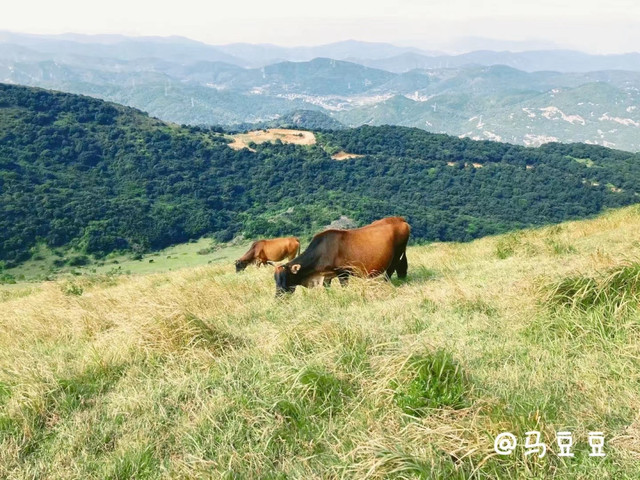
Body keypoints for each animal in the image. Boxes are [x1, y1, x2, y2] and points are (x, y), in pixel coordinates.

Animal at [272, 217, 408, 292]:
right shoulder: (326, 275)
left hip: (396, 255)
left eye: (286, 278)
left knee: (389, 272)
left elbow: (344, 286)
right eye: (275, 280)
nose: (278, 297)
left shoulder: (343, 272)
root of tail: (400, 219)